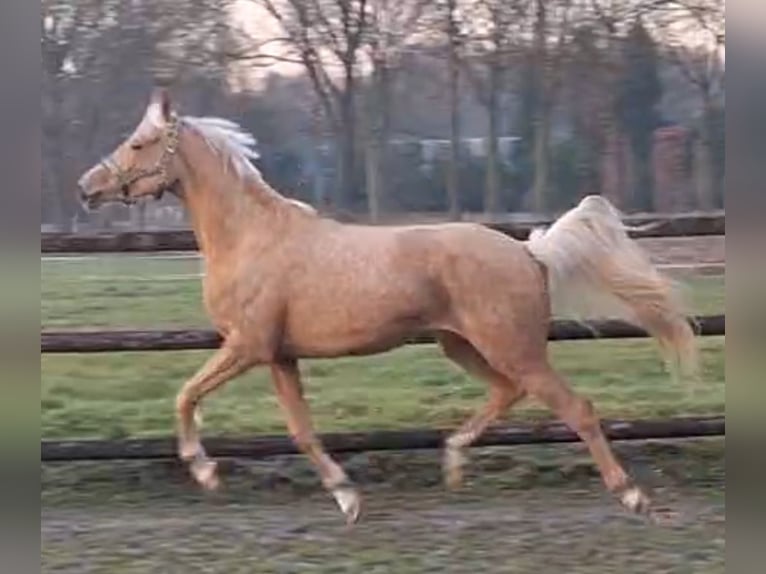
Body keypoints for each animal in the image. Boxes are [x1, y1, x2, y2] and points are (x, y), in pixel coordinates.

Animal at [81, 90, 700, 528]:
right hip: (464, 345)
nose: (87, 188)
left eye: (139, 143)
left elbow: (186, 395)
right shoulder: (279, 356)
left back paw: (632, 496)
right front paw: (347, 499)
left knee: (578, 408)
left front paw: (206, 472)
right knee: (508, 394)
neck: (251, 237)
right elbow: (301, 431)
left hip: (511, 348)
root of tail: (530, 251)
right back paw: (452, 461)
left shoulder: (247, 346)